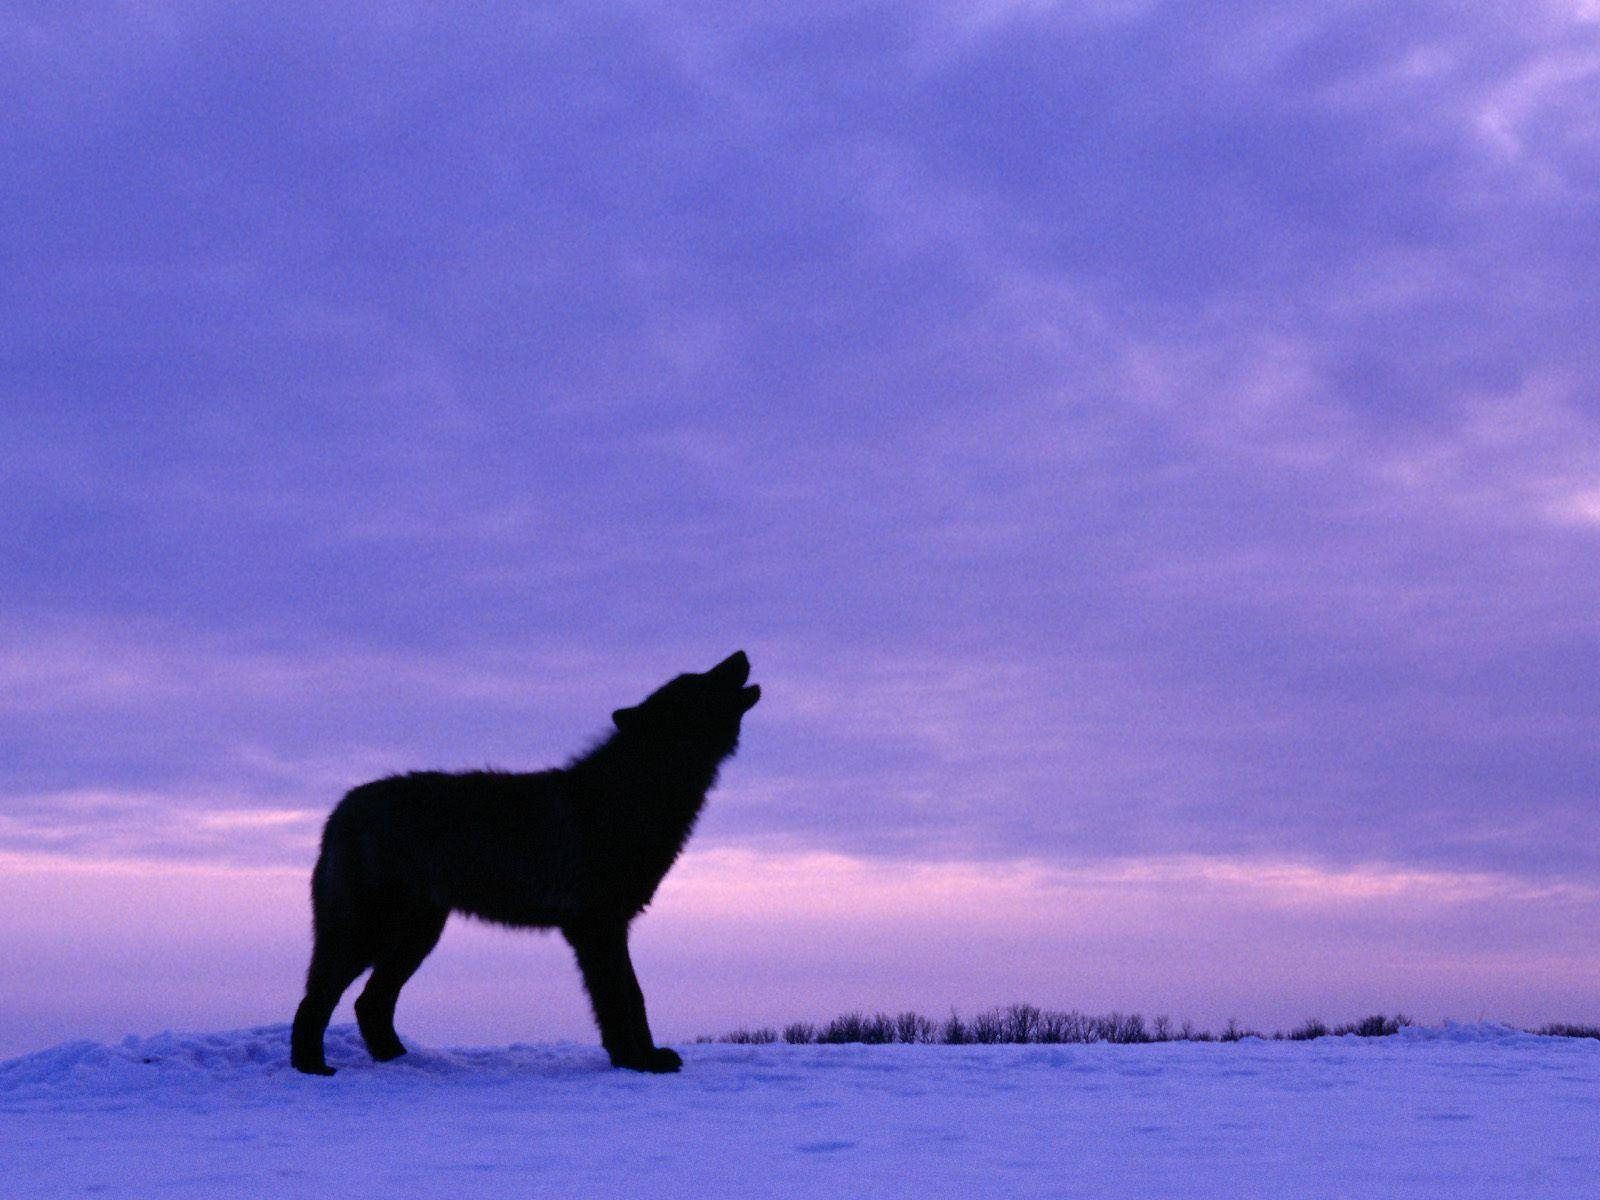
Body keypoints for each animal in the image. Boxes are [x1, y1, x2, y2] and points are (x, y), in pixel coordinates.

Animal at [289, 659, 761, 1081]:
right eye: (699, 680)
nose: (740, 654)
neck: (634, 795)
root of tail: (341, 807)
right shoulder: (598, 928)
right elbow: (621, 999)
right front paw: (636, 1062)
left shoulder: (609, 928)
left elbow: (630, 997)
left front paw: (638, 1057)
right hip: (370, 935)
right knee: (317, 999)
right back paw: (312, 1068)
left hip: (417, 937)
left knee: (369, 1002)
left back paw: (403, 1062)